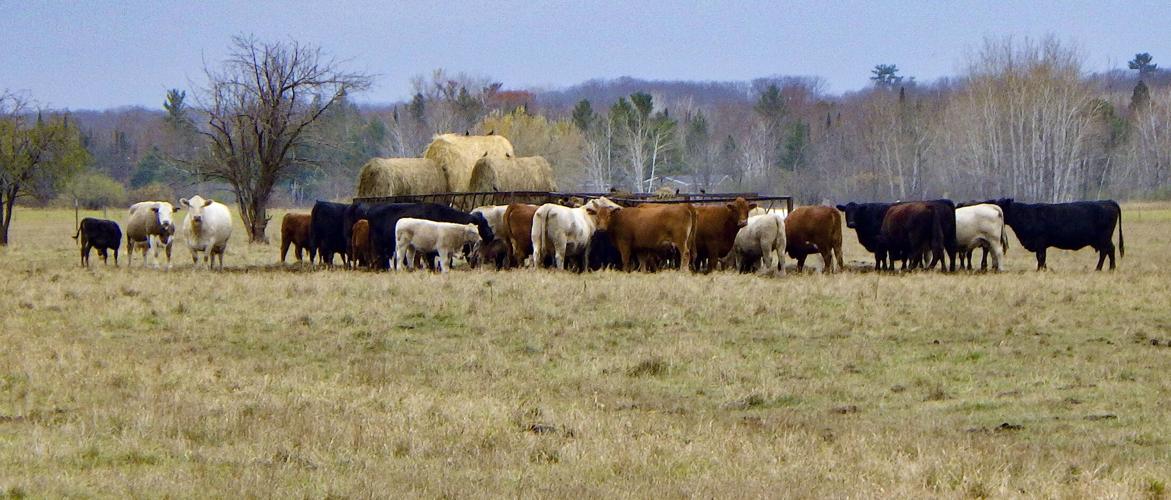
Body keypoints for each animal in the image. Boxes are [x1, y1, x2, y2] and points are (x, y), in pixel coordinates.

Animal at [992, 198, 1123, 271]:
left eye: (1000, 206)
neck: (1025, 215)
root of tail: (1109, 201)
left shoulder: (1040, 242)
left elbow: (1041, 257)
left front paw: (1040, 270)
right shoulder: (1041, 245)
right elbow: (1042, 258)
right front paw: (1044, 269)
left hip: (1104, 238)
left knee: (1107, 250)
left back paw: (1103, 268)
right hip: (1103, 239)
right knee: (1108, 251)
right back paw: (1108, 268)